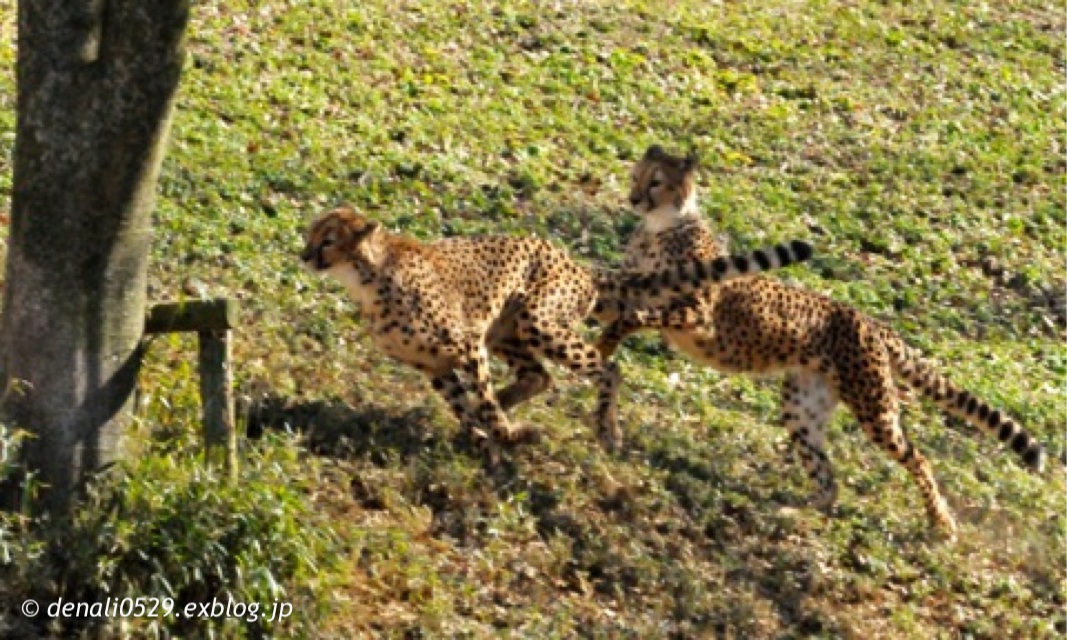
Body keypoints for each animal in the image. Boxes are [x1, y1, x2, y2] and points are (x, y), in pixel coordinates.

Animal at [296, 204, 810, 454]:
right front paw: (480, 433)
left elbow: (480, 400)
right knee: (538, 375)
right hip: (509, 331)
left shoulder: (465, 345)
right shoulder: (436, 365)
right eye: (310, 234)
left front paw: (503, 434)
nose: (304, 255)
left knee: (606, 368)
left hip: (538, 319)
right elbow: (464, 404)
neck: (367, 278)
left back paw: (606, 429)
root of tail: (576, 263)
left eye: (328, 240)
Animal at [601, 146, 1049, 535]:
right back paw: (792, 511)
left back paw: (940, 522)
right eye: (637, 176)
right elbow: (617, 302)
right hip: (803, 407)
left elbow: (634, 316)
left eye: (656, 182)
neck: (660, 228)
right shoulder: (636, 289)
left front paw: (607, 338)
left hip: (874, 407)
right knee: (829, 480)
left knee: (917, 457)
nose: (633, 198)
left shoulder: (698, 316)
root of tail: (873, 323)